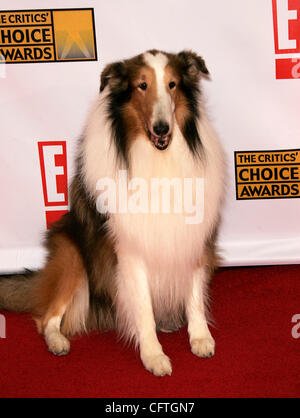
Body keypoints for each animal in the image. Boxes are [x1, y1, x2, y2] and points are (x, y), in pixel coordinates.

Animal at [0, 49, 224, 376]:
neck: (158, 156)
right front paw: (153, 355)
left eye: (172, 84)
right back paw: (57, 341)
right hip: (72, 256)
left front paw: (199, 338)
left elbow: (194, 295)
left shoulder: (193, 236)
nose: (162, 128)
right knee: (47, 318)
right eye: (142, 86)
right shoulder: (131, 249)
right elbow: (143, 307)